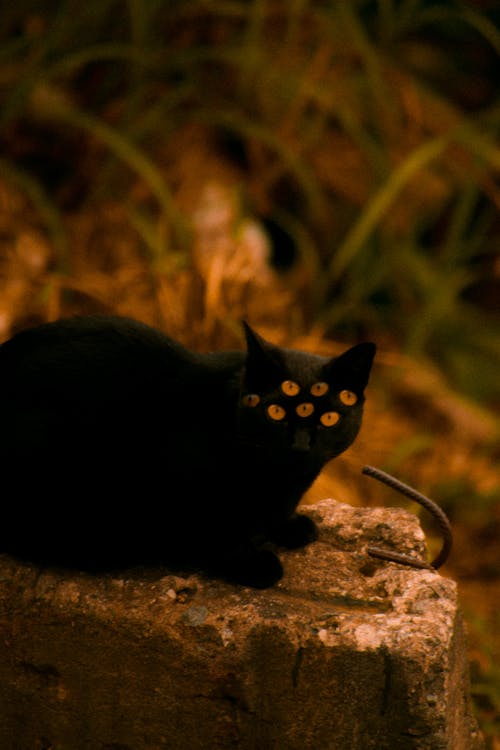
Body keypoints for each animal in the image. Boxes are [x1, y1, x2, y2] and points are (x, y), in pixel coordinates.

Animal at [0, 316, 376, 588]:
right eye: (276, 412)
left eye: (328, 418)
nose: (299, 444)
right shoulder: (184, 483)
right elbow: (217, 531)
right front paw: (254, 563)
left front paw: (289, 527)